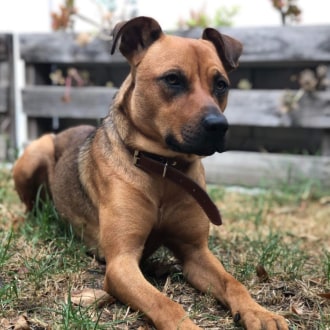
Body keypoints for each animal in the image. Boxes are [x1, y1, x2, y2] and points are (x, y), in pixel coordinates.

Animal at [12, 17, 288, 330]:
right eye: (173, 79)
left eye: (221, 85)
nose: (219, 125)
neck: (164, 169)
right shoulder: (121, 263)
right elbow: (164, 303)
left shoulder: (196, 252)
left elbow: (233, 283)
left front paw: (260, 312)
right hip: (36, 152)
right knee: (31, 206)